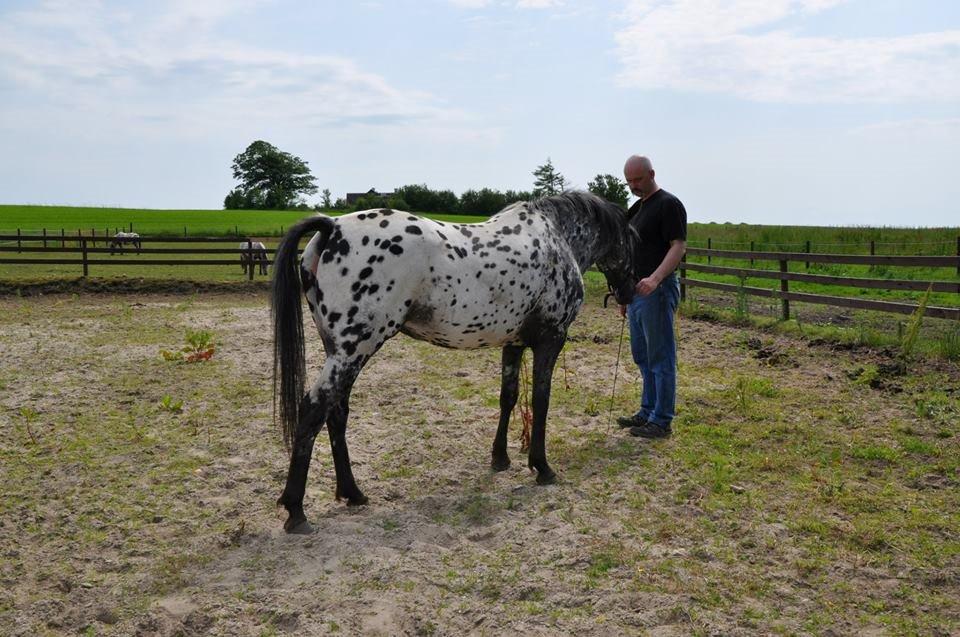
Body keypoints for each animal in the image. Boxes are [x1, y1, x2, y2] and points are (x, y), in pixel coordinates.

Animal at [270, 189, 636, 532]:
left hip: (341, 351)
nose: (630, 293)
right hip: (353, 350)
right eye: (634, 240)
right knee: (314, 409)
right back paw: (296, 511)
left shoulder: (513, 343)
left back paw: (353, 493)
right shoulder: (551, 341)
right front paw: (542, 467)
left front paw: (500, 458)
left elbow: (509, 397)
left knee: (336, 412)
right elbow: (541, 402)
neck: (557, 240)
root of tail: (332, 227)